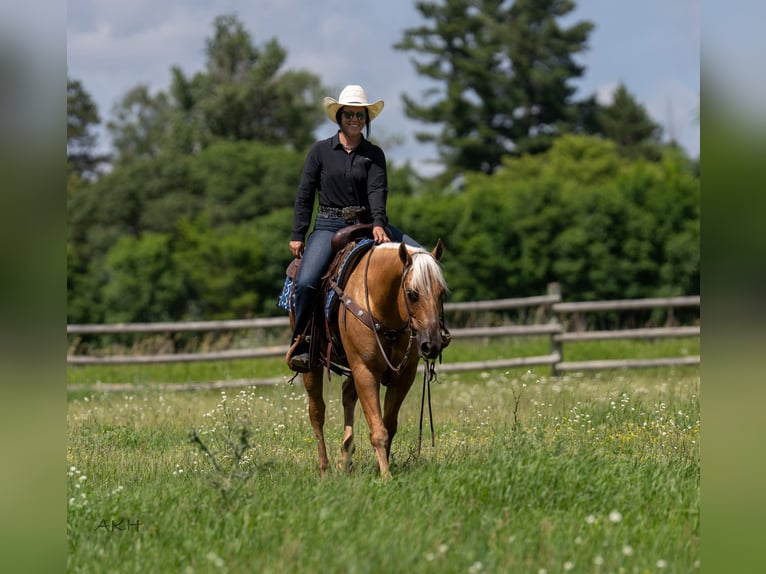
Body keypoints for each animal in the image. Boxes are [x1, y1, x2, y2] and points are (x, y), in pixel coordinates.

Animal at [289, 238, 449, 480]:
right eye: (412, 293)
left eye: (442, 294)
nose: (432, 345)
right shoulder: (365, 370)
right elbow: (379, 430)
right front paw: (386, 477)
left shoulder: (403, 376)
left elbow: (389, 426)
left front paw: (380, 468)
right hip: (313, 366)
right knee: (316, 412)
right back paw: (324, 469)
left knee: (347, 395)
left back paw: (345, 459)